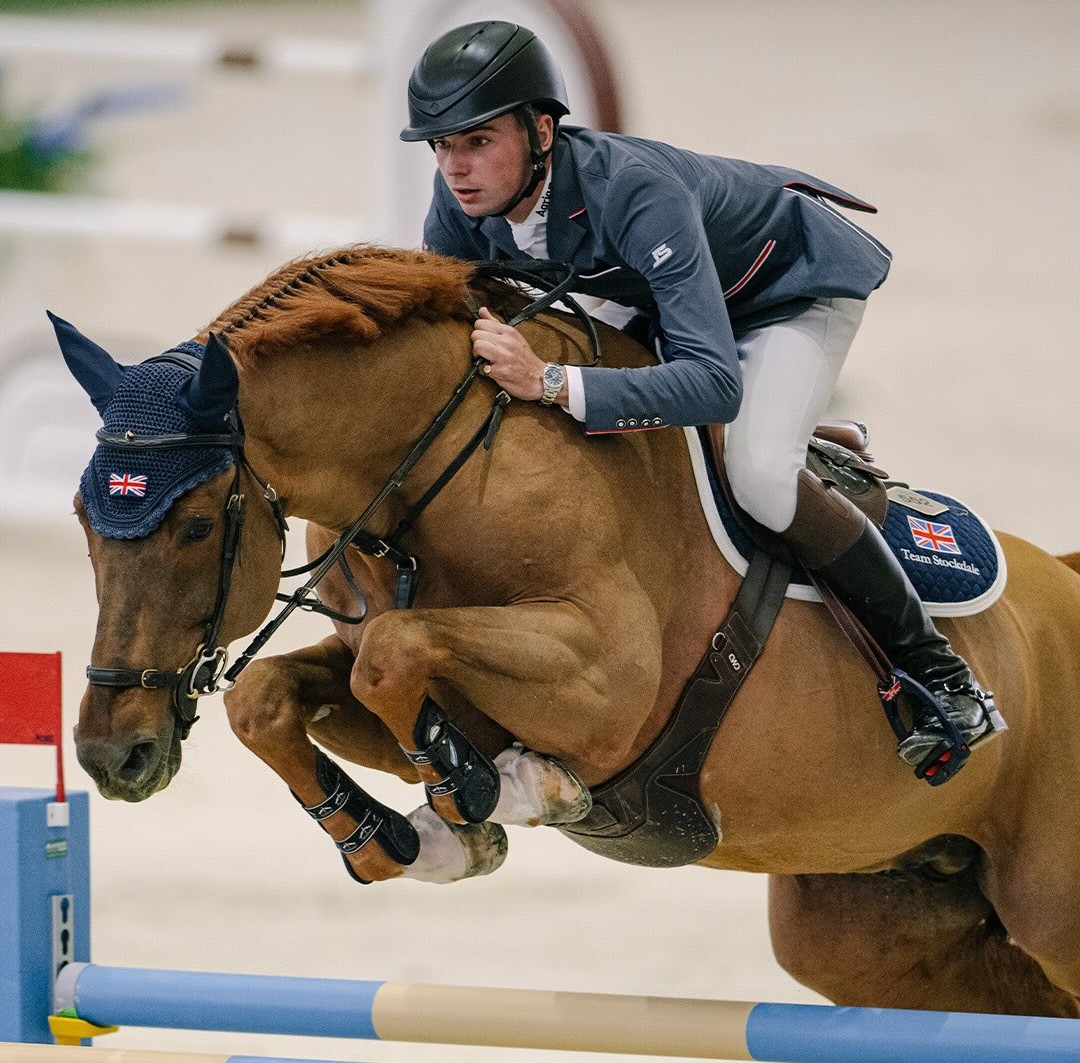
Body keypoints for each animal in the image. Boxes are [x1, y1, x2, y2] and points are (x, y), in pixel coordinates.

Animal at [55, 245, 1080, 1018]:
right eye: (80, 518)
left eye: (194, 526)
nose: (114, 757)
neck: (441, 459)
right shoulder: (401, 665)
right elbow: (284, 694)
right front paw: (400, 835)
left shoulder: (608, 684)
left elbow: (397, 656)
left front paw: (489, 788)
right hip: (869, 928)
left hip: (1048, 907)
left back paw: (949, 704)